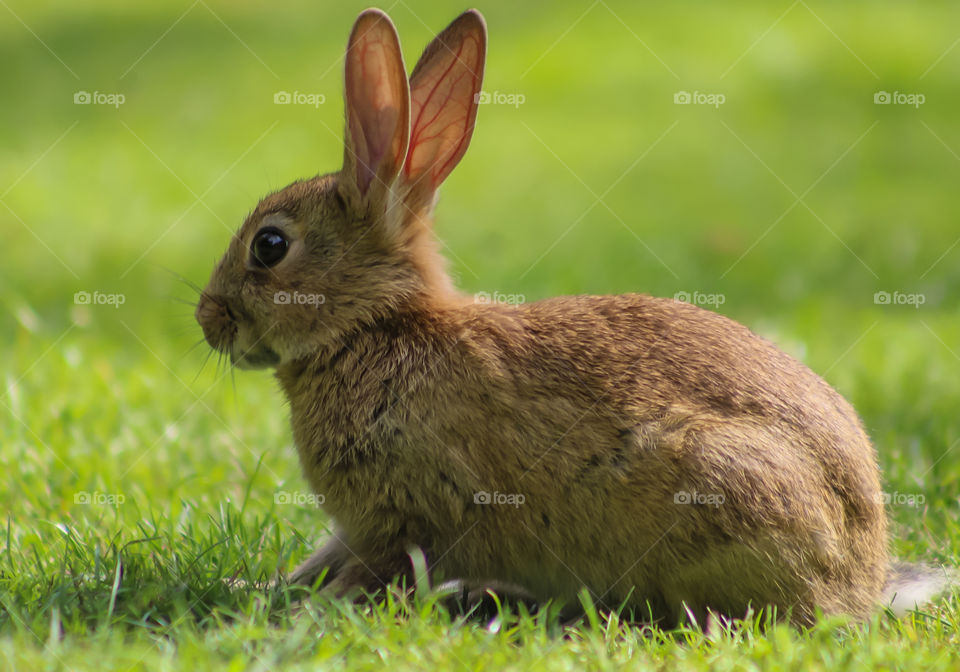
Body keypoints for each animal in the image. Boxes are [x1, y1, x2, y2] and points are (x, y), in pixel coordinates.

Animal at [195, 8, 952, 626]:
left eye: (269, 246)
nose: (207, 320)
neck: (378, 327)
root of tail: (862, 577)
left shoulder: (410, 518)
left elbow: (369, 575)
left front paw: (290, 610)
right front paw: (255, 590)